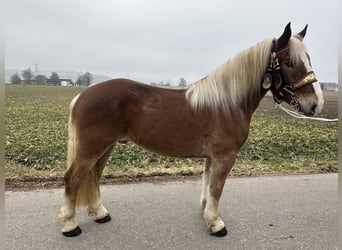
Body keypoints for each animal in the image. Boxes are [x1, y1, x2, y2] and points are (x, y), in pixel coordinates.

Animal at [58, 23, 324, 236]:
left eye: (309, 59)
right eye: (289, 62)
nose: (315, 104)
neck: (228, 103)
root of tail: (82, 95)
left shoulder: (212, 157)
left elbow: (207, 184)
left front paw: (206, 214)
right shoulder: (224, 157)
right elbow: (217, 188)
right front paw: (216, 224)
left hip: (105, 148)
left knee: (93, 177)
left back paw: (100, 213)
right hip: (91, 149)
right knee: (73, 179)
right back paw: (71, 225)